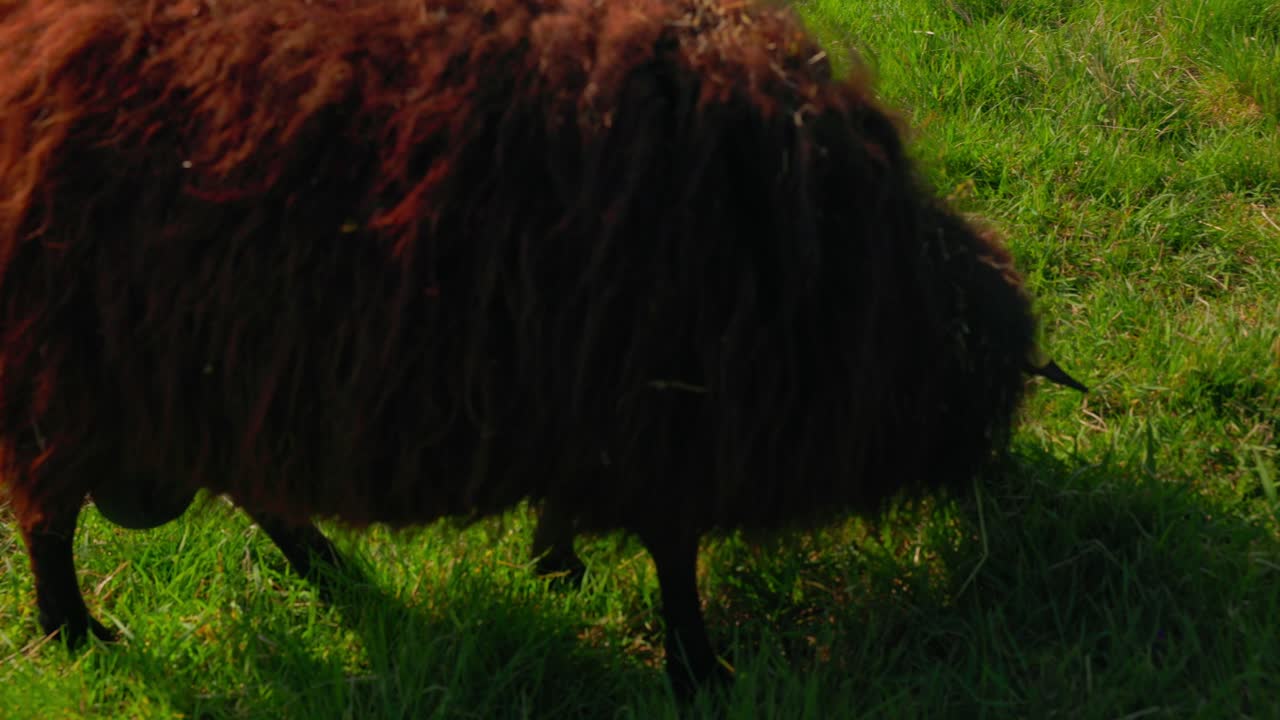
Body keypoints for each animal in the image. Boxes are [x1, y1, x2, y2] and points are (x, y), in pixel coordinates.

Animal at [0, 0, 1080, 696]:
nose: (1001, 491)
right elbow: (674, 555)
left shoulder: (604, 412)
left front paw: (556, 564)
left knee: (243, 487)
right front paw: (699, 668)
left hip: (199, 374)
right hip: (79, 368)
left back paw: (332, 572)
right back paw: (77, 634)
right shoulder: (663, 418)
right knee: (49, 515)